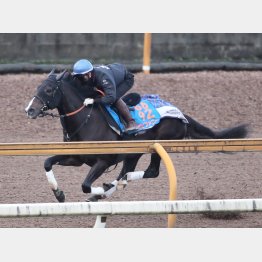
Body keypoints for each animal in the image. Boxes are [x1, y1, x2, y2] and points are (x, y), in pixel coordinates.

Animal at [25, 70, 250, 203]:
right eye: (37, 87)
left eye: (48, 89)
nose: (30, 110)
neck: (86, 121)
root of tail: (181, 114)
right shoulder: (76, 157)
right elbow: (47, 162)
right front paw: (59, 193)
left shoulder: (103, 161)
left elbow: (85, 186)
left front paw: (96, 190)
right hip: (133, 153)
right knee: (126, 172)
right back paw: (110, 187)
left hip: (158, 145)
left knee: (150, 172)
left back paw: (107, 188)